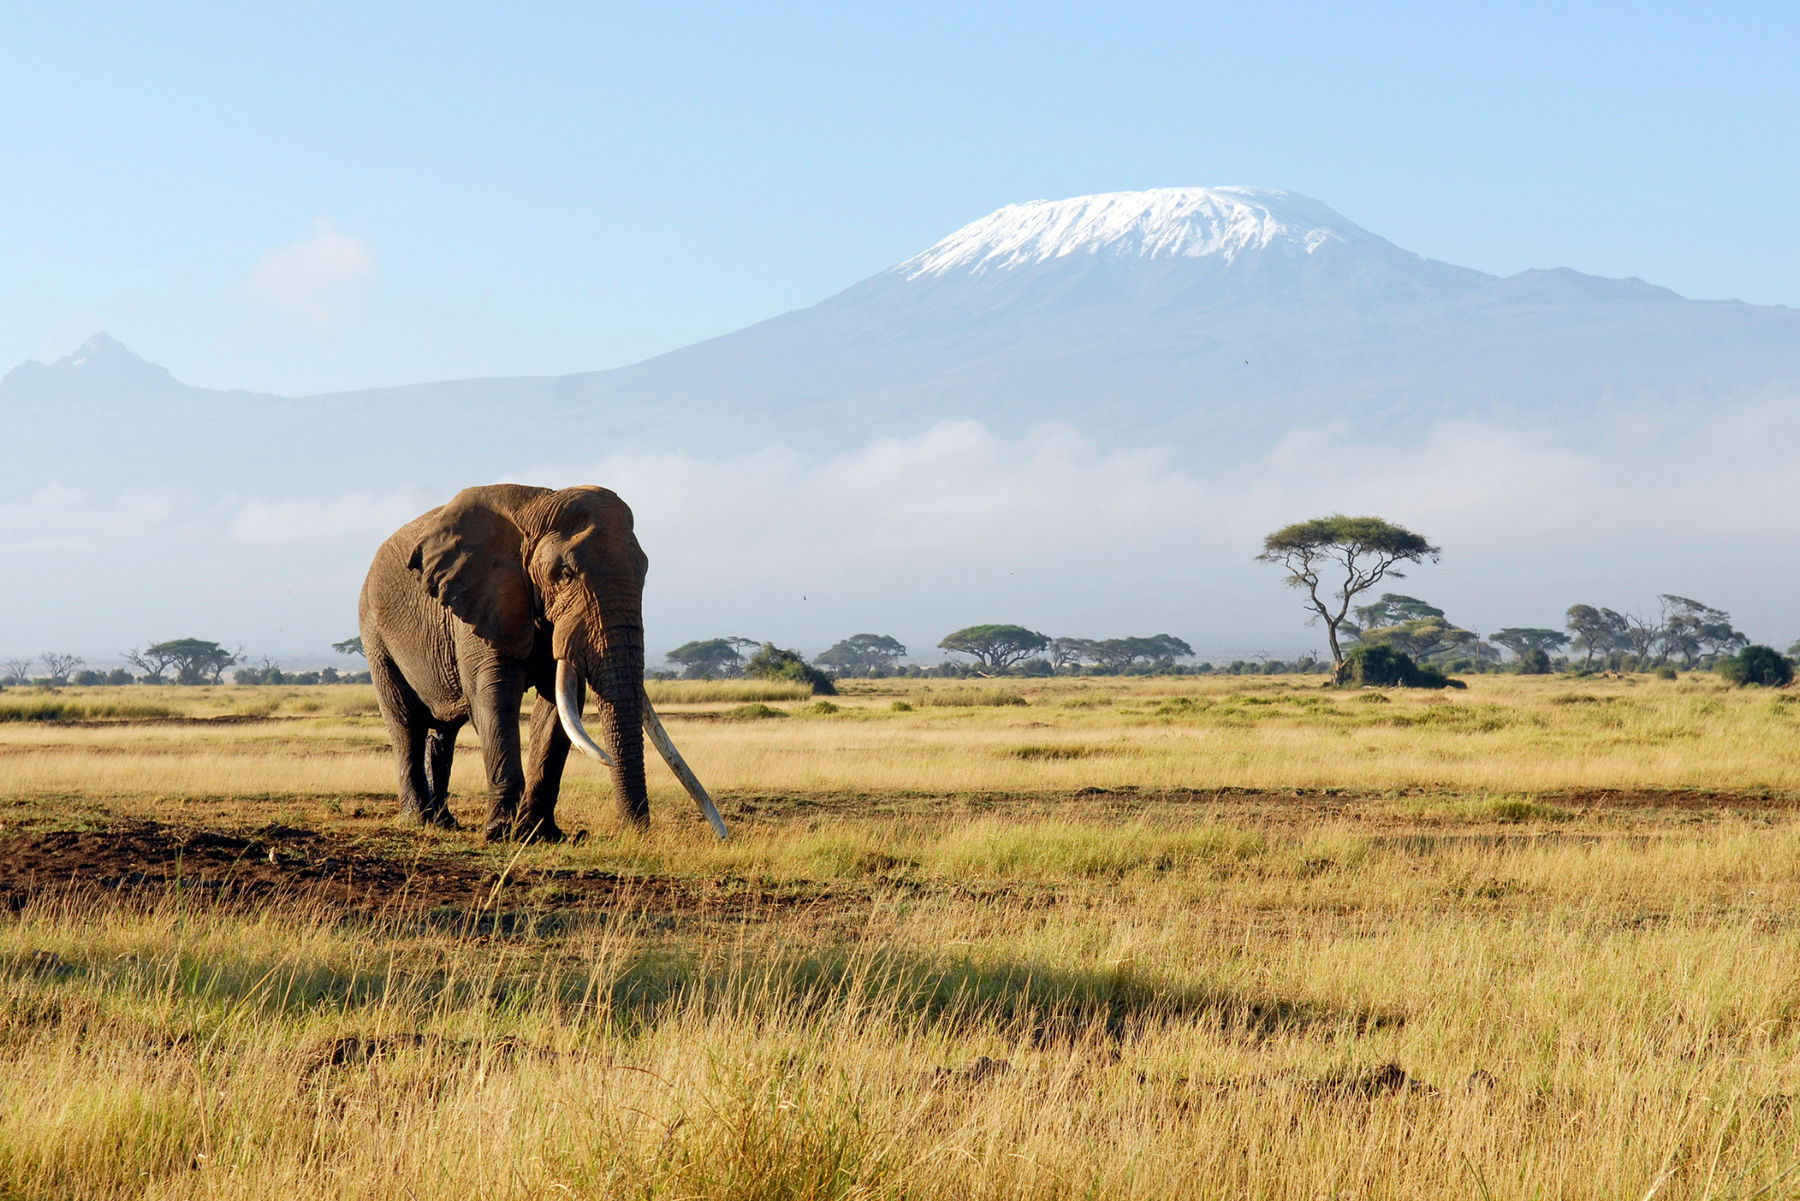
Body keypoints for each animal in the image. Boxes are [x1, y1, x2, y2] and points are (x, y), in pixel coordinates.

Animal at [358, 483, 726, 842]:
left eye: (644, 573)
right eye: (564, 574)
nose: (635, 833)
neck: (535, 508)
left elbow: (559, 707)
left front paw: (541, 833)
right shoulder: (484, 599)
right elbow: (495, 696)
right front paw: (501, 832)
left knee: (443, 733)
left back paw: (445, 822)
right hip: (374, 632)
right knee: (407, 724)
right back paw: (419, 819)